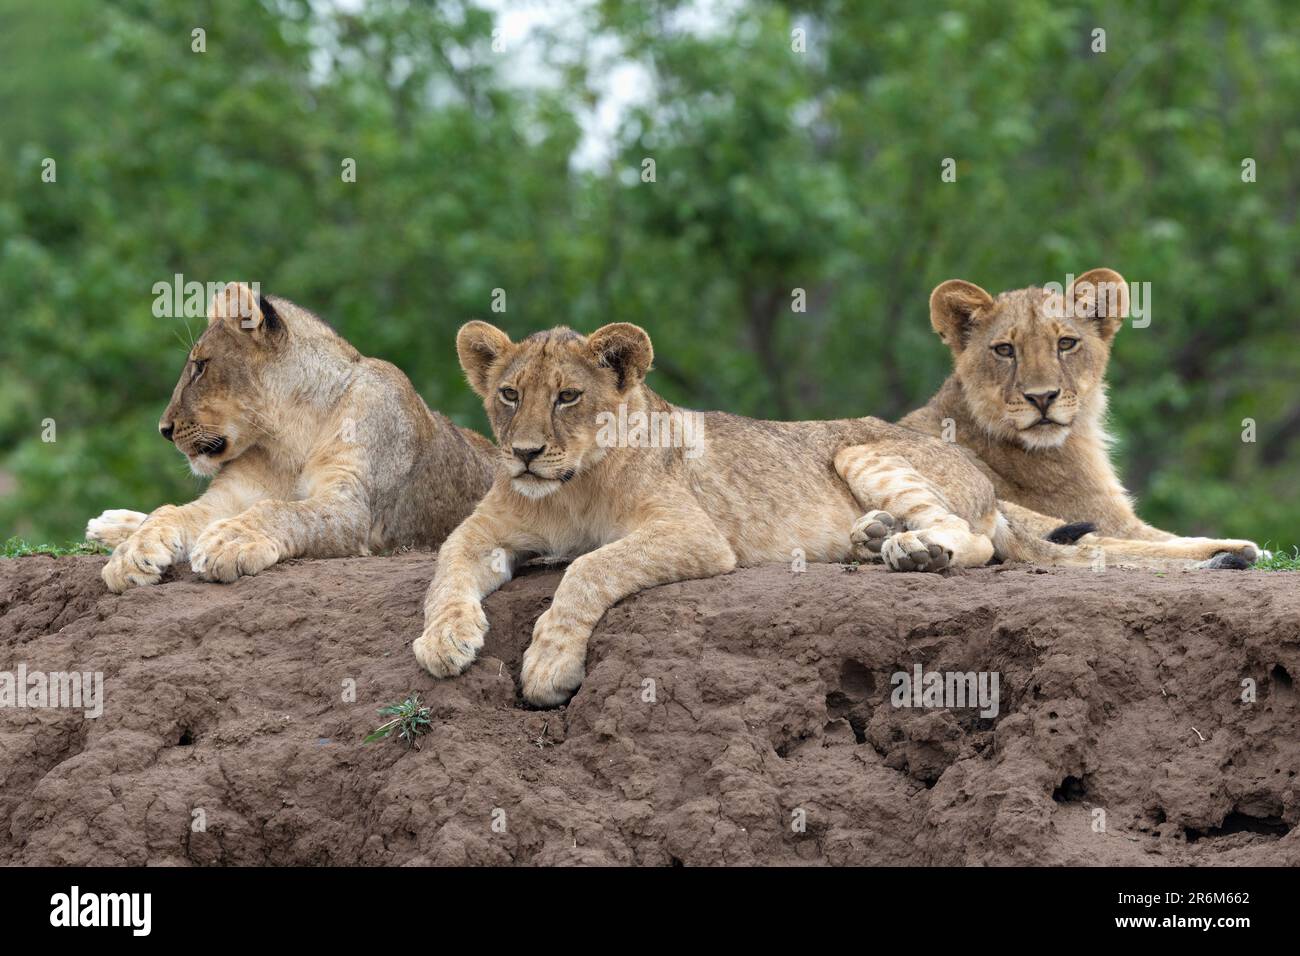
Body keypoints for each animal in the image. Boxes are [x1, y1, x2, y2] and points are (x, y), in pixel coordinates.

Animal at [90, 282, 496, 592]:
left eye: (200, 366)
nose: (164, 429)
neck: (288, 438)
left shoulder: (353, 510)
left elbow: (282, 511)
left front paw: (228, 541)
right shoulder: (229, 496)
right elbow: (170, 512)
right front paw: (131, 554)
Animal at [413, 321, 1113, 706]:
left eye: (567, 397)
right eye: (509, 394)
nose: (525, 454)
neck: (566, 489)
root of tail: (978, 472)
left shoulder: (692, 532)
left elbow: (590, 567)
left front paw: (550, 664)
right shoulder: (483, 531)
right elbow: (445, 572)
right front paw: (445, 639)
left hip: (861, 449)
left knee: (974, 539)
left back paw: (912, 550)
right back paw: (875, 537)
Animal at [899, 268, 1263, 567]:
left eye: (1066, 343)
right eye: (1004, 350)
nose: (1042, 397)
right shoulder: (1108, 516)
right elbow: (1147, 536)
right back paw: (1232, 551)